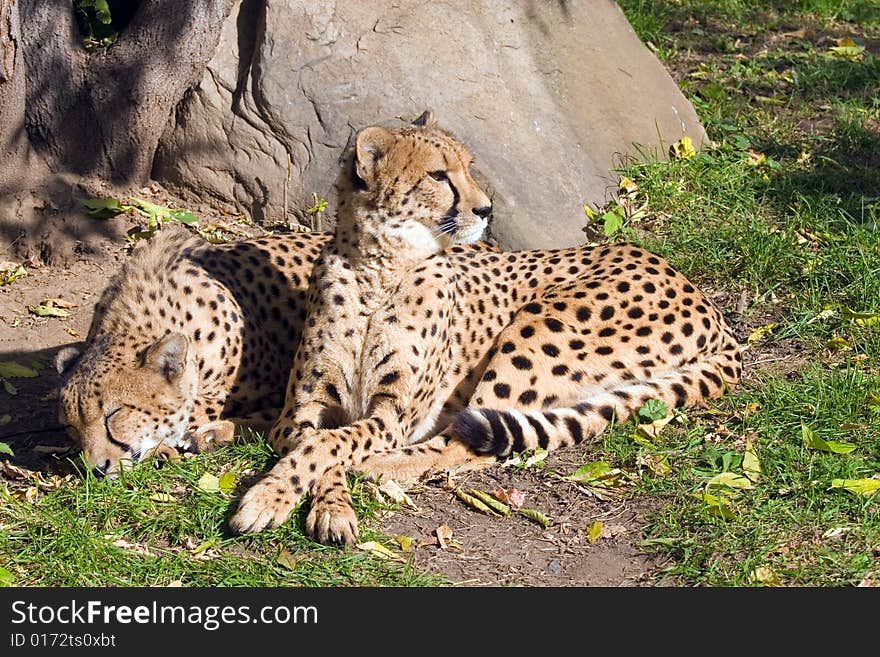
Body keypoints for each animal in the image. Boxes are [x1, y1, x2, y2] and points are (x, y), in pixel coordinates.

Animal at [229, 113, 744, 544]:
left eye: (469, 169)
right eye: (439, 175)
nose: (486, 209)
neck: (380, 270)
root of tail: (708, 305)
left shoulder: (394, 417)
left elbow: (332, 444)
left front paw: (266, 498)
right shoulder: (302, 409)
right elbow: (316, 445)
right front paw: (325, 506)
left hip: (537, 327)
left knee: (468, 443)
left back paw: (380, 464)